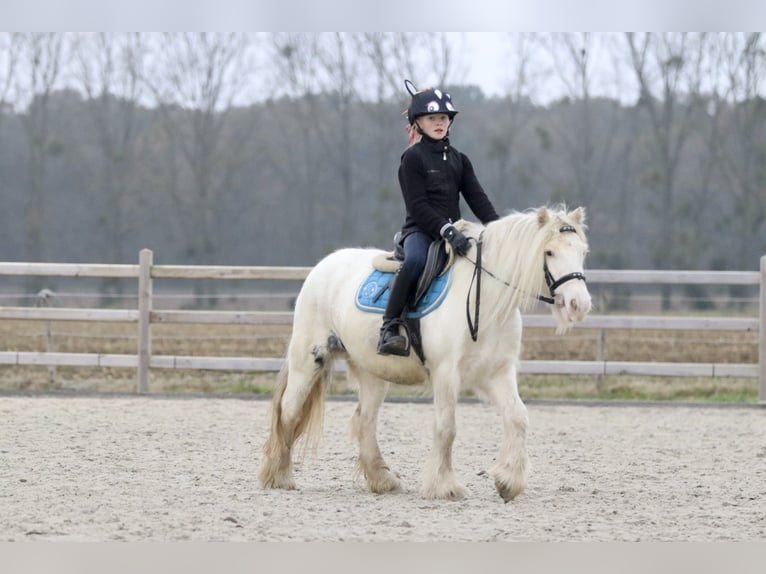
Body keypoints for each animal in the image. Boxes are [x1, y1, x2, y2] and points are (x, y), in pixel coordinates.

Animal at [260, 206, 592, 500]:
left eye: (582, 252)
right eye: (549, 252)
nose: (579, 304)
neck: (485, 300)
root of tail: (324, 265)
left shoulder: (496, 373)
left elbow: (518, 417)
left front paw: (508, 482)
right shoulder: (446, 373)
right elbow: (447, 427)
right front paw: (444, 486)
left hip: (372, 372)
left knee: (364, 420)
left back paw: (382, 479)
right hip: (309, 359)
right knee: (289, 410)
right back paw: (280, 475)